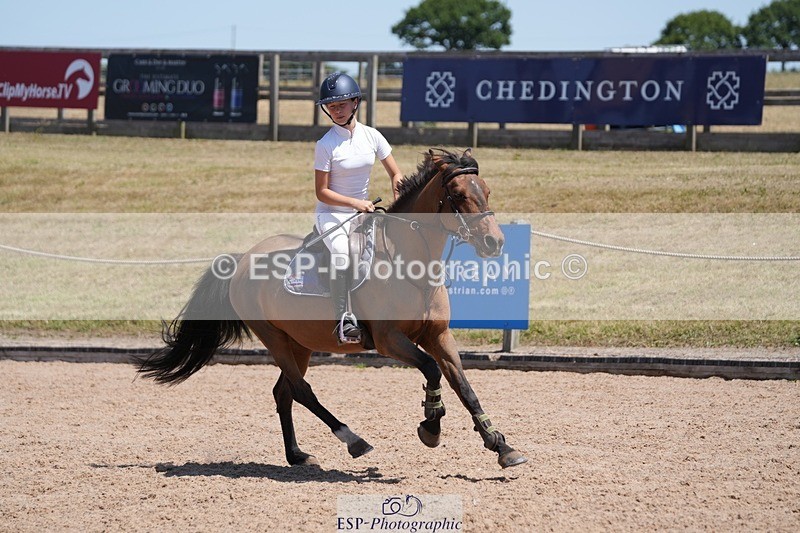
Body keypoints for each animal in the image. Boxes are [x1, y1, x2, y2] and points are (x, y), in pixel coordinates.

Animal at [136, 148, 527, 469]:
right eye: (459, 195)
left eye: (486, 191)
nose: (494, 242)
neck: (409, 262)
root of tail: (243, 258)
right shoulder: (389, 339)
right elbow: (431, 370)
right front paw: (430, 426)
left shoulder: (439, 336)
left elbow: (463, 385)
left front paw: (501, 446)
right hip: (274, 338)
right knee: (301, 391)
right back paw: (353, 440)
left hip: (300, 343)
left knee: (284, 392)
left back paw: (296, 455)